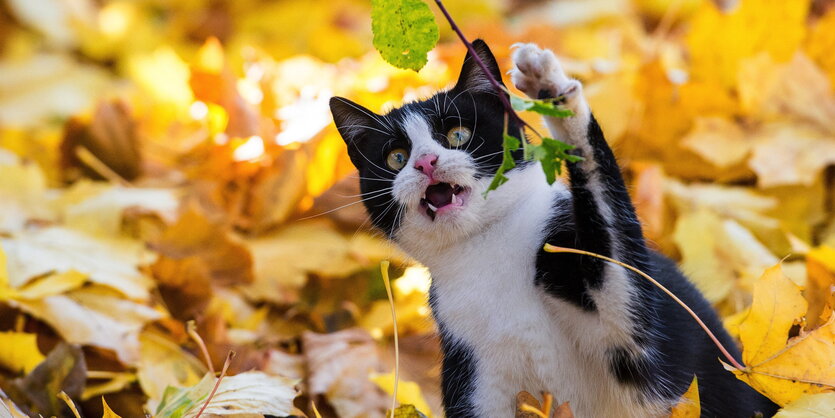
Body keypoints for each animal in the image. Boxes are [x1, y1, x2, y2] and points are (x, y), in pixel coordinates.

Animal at [326, 40, 776, 418]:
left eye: (458, 134)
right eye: (396, 157)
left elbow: (611, 238)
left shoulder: (632, 332)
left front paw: (552, 90)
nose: (425, 163)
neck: (483, 251)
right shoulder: (472, 369)